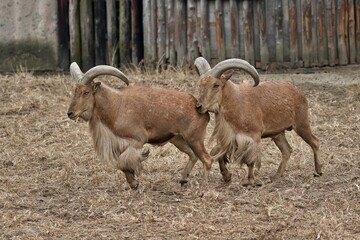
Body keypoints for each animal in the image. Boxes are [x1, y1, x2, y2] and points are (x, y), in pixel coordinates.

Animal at [67, 62, 214, 189]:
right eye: (74, 91)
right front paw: (133, 183)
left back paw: (202, 187)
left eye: (86, 92)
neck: (116, 105)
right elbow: (123, 164)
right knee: (193, 155)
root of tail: (201, 110)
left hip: (194, 139)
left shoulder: (137, 140)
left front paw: (134, 183)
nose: (70, 113)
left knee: (207, 159)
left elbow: (123, 163)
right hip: (179, 140)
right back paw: (183, 179)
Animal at [193, 57, 322, 186]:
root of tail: (297, 90)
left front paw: (250, 181)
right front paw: (227, 176)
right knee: (287, 150)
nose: (199, 106)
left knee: (314, 142)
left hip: (301, 124)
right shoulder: (230, 137)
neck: (236, 101)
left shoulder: (254, 136)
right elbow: (216, 152)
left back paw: (318, 171)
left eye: (216, 85)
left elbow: (250, 159)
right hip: (278, 133)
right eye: (200, 85)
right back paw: (276, 176)